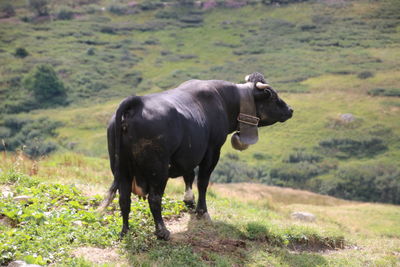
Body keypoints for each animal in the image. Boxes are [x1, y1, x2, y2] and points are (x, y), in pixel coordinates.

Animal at [101, 78, 292, 242]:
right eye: (273, 96)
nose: (290, 110)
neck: (226, 101)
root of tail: (136, 102)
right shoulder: (212, 150)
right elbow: (203, 181)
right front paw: (202, 211)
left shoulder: (188, 155)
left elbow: (189, 176)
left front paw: (189, 202)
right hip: (158, 168)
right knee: (154, 198)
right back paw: (162, 231)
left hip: (121, 168)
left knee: (124, 199)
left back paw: (125, 231)